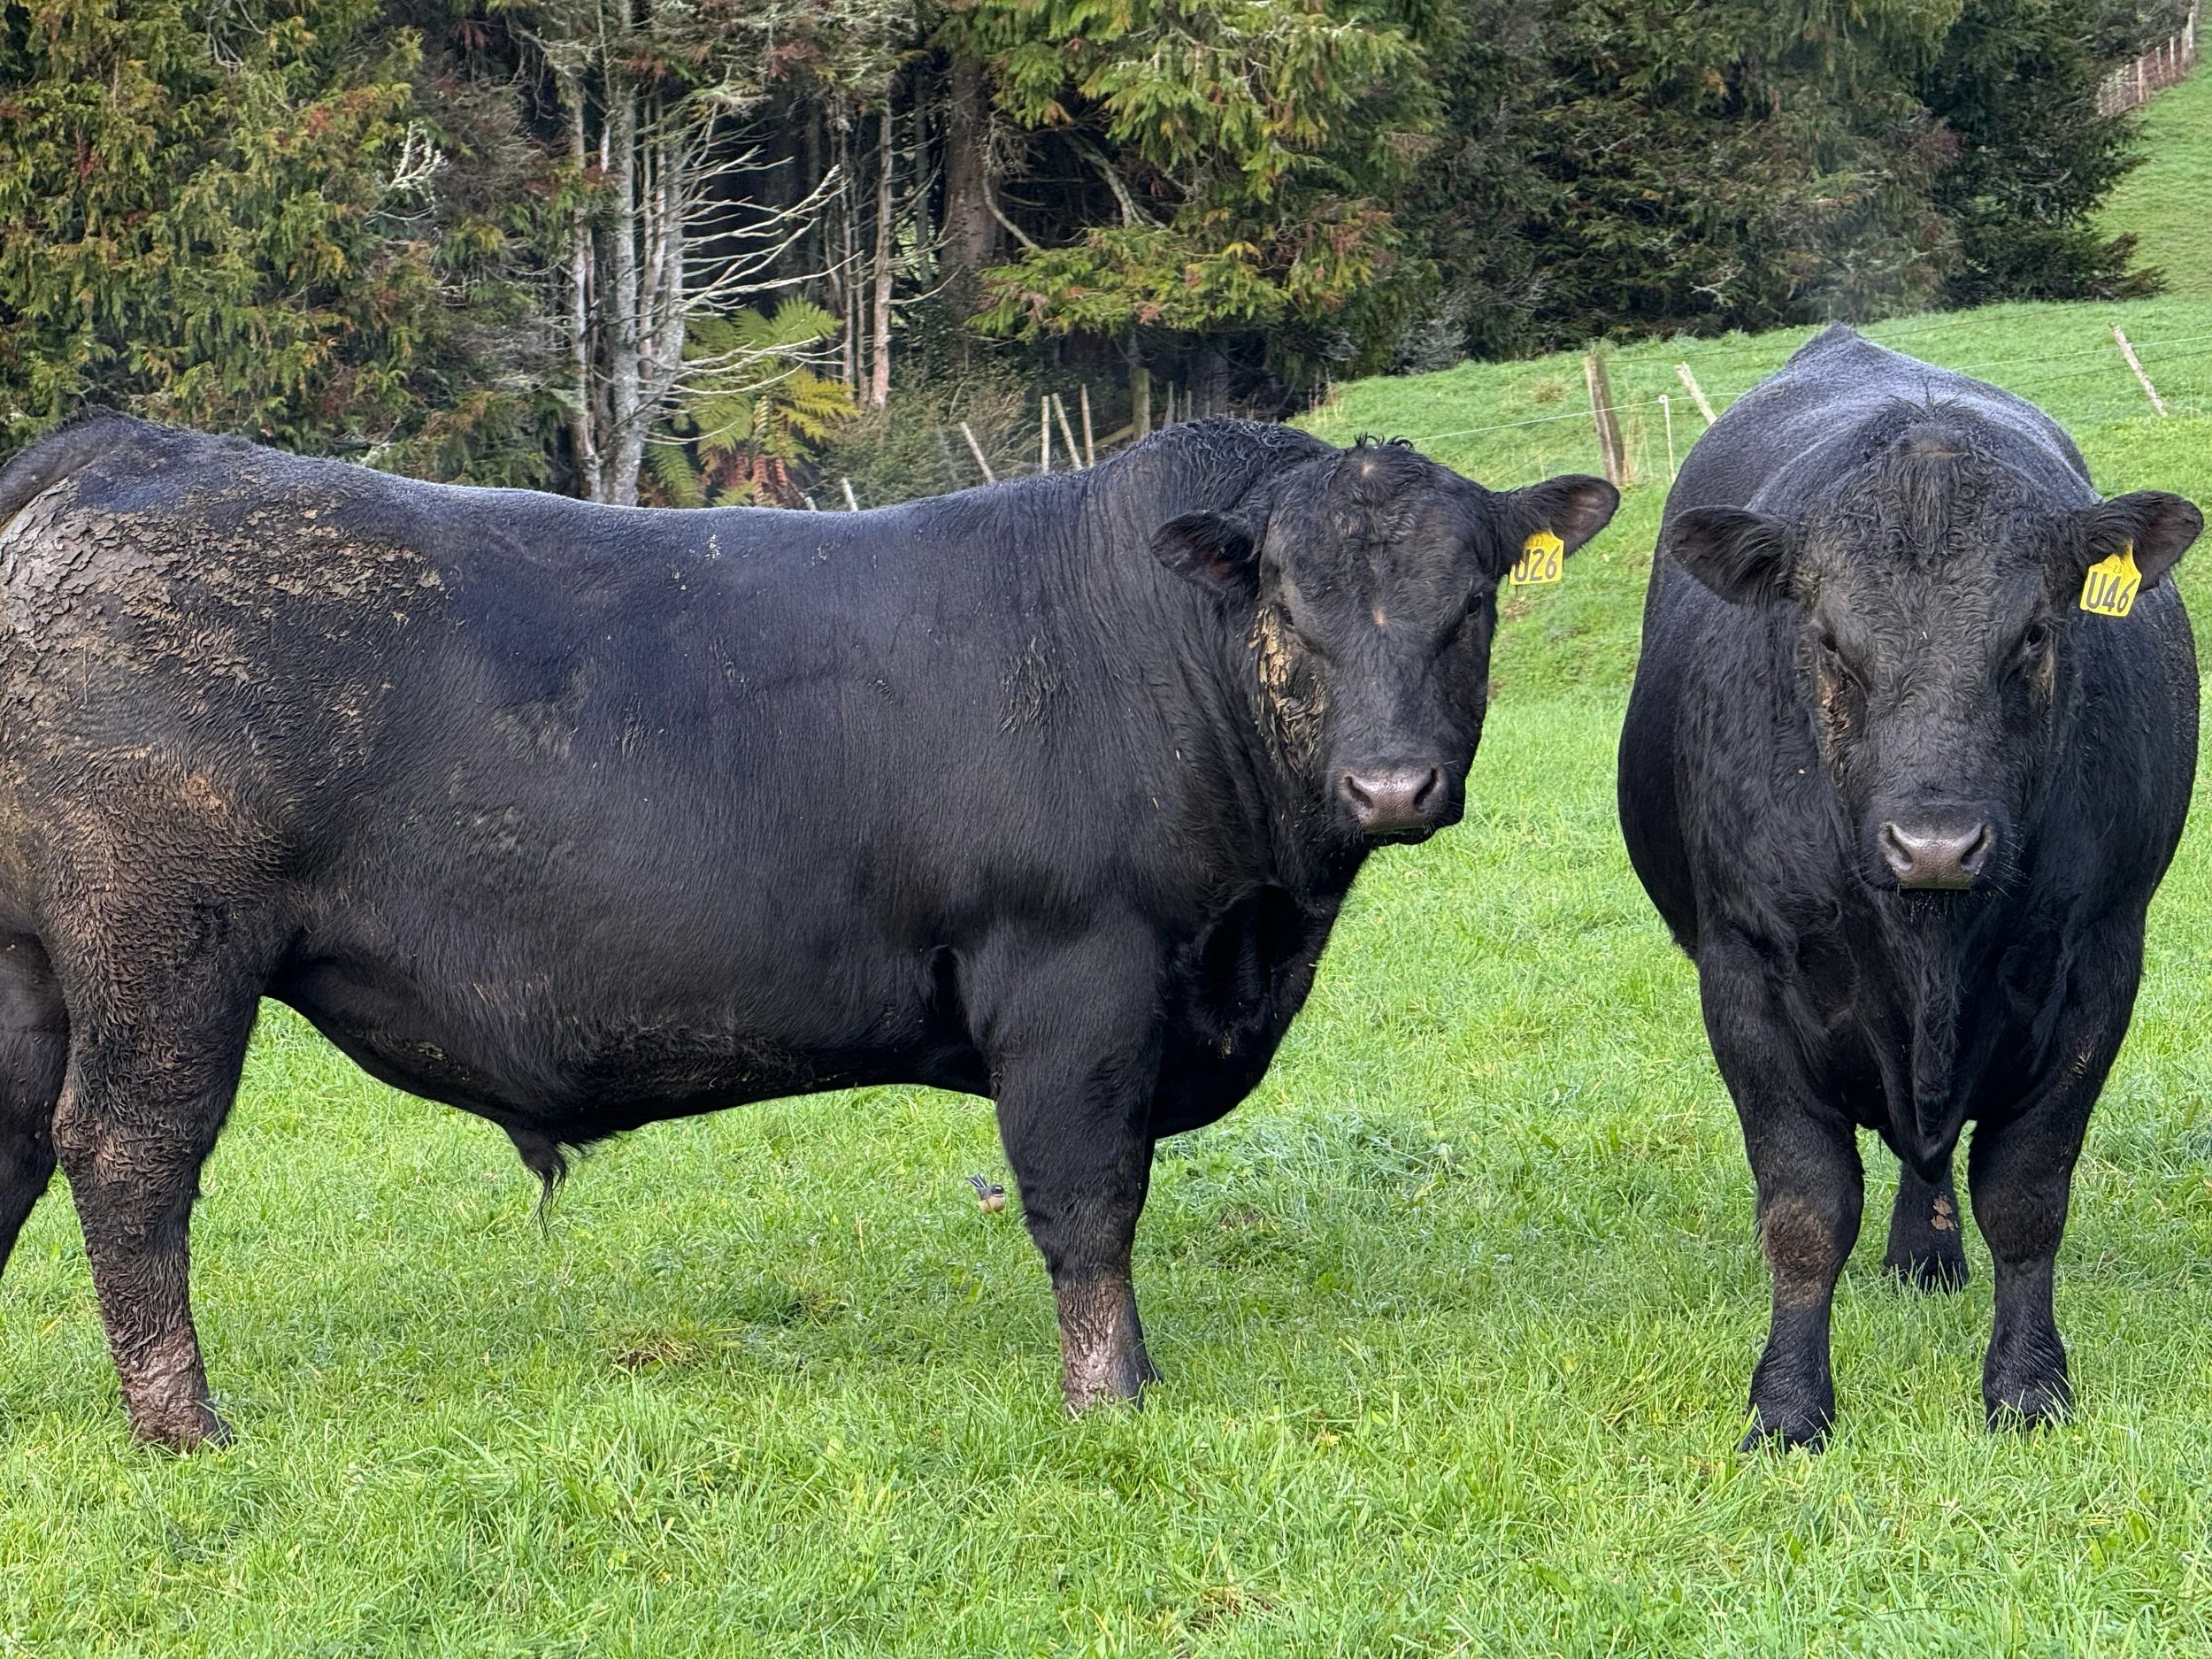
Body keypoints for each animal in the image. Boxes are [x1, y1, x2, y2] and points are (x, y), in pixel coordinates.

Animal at [0, 414, 1616, 1447]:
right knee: (128, 1158)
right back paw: (185, 1427)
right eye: (1287, 599)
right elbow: (1088, 1202)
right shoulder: (1077, 979)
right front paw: (1111, 1404)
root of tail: (126, 451)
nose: (1392, 783)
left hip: (33, 969)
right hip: (166, 947)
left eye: (1473, 602)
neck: (1263, 927)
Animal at [1618, 325, 2200, 1448]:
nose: (1935, 843)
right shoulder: (1743, 977)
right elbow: (1804, 1210)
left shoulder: (2098, 966)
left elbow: (2025, 1196)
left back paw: (1926, 1255)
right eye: (1829, 640)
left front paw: (2027, 1386)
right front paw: (1787, 1407)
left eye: (2032, 633)